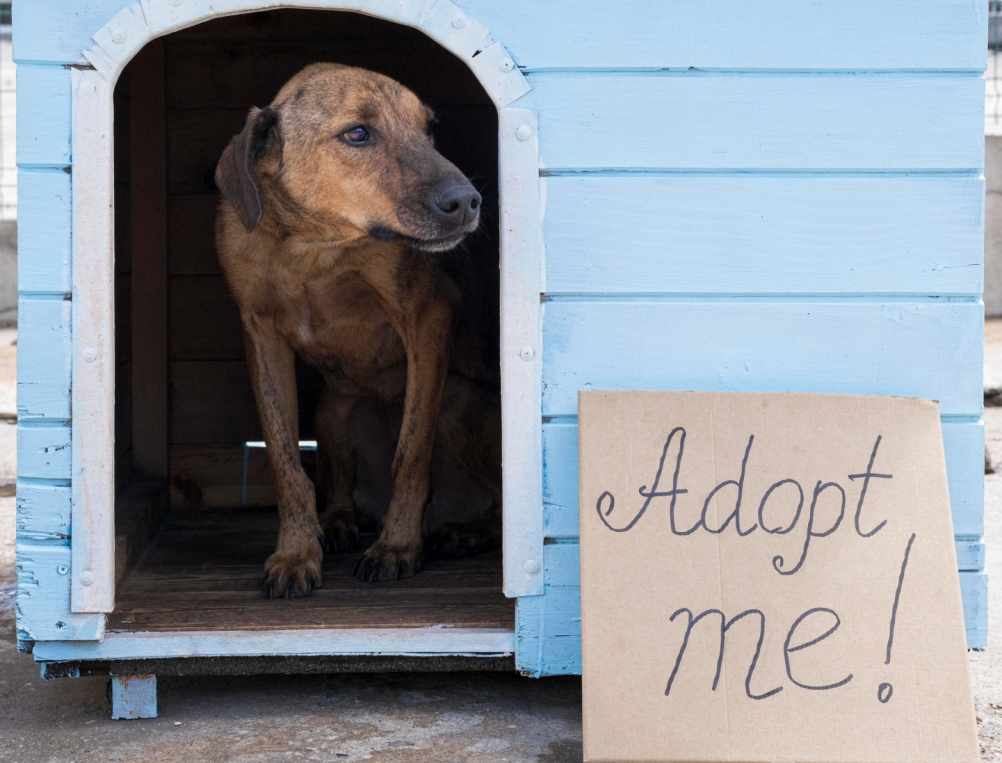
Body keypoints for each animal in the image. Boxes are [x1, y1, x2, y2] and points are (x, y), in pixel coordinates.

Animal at [216, 63, 505, 593]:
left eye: (428, 129)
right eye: (357, 133)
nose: (469, 201)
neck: (314, 247)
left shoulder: (428, 319)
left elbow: (410, 455)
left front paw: (397, 547)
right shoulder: (261, 339)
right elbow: (287, 464)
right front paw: (297, 552)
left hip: (456, 405)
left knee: (497, 497)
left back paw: (464, 532)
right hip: (332, 411)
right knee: (338, 487)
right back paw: (338, 523)